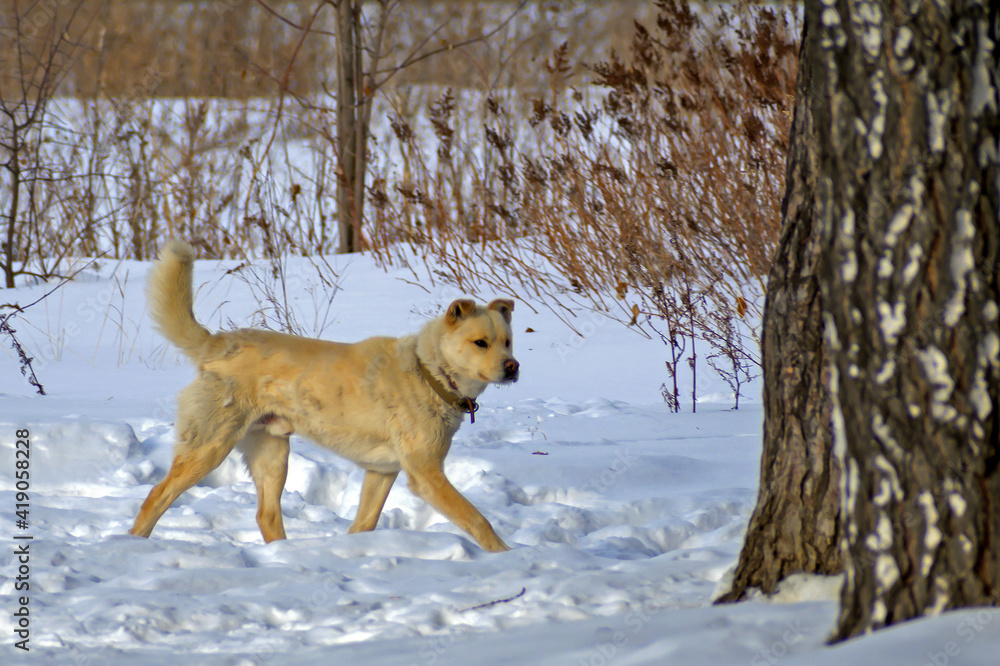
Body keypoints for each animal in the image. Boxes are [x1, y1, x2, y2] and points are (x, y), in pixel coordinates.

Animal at [130, 240, 520, 548]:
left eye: (507, 341)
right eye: (480, 343)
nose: (513, 367)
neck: (429, 372)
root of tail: (218, 343)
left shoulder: (382, 472)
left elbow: (364, 523)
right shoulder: (426, 474)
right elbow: (477, 519)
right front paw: (504, 556)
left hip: (272, 454)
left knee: (266, 516)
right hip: (210, 446)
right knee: (156, 496)